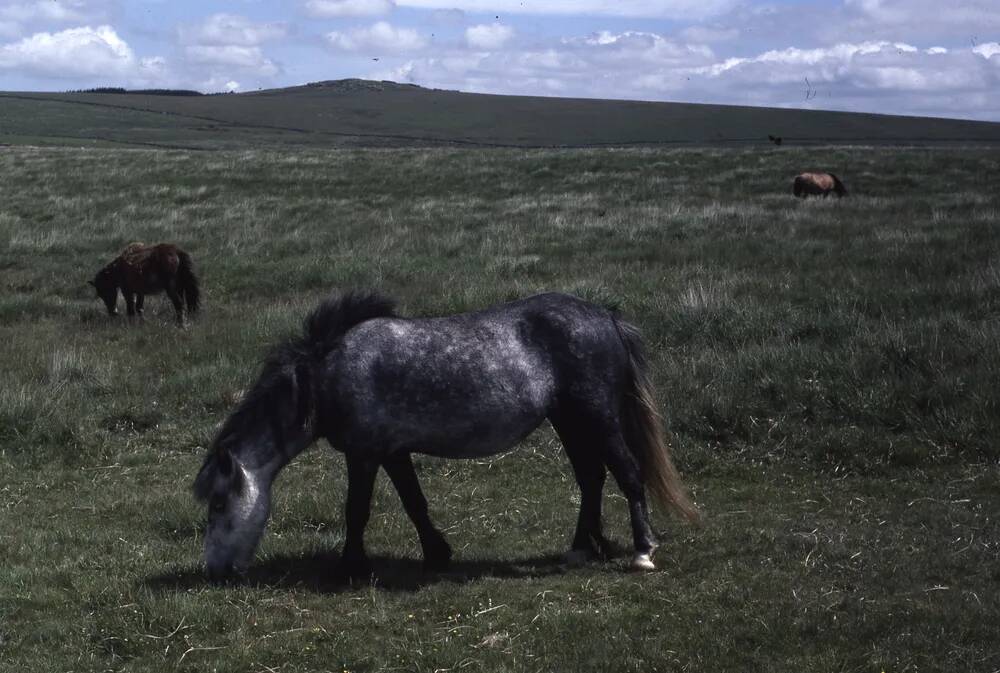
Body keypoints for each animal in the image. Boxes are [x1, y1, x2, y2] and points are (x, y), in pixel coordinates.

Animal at [193, 292, 696, 580]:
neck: (326, 376)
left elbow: (357, 510)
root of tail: (605, 316)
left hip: (598, 417)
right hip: (570, 421)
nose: (215, 570)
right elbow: (415, 503)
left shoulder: (364, 455)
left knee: (627, 474)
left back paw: (642, 552)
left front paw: (351, 565)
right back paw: (580, 550)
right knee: (591, 478)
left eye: (218, 504)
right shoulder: (392, 453)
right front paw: (437, 553)